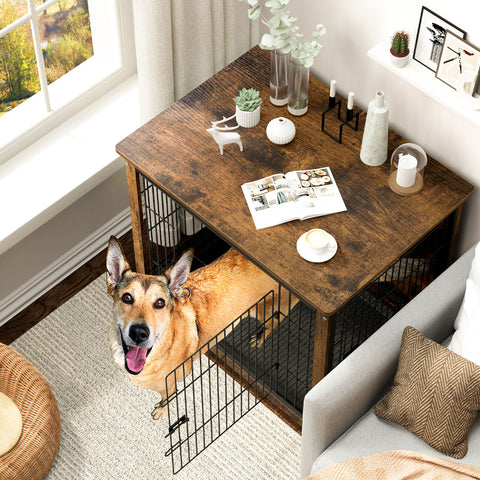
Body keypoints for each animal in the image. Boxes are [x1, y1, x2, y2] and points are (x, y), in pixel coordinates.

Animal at [105, 238, 294, 418]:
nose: (139, 333)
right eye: (127, 298)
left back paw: (260, 337)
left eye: (159, 303)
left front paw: (162, 410)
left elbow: (168, 397)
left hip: (267, 310)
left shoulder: (169, 383)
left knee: (273, 323)